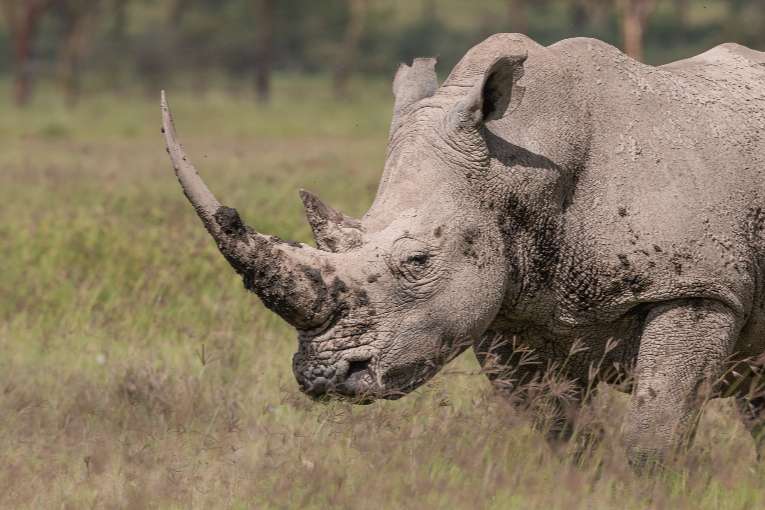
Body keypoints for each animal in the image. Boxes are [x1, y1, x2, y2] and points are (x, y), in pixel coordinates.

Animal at [162, 33, 765, 467]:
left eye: (418, 262)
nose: (323, 378)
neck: (515, 165)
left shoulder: (697, 288)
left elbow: (654, 436)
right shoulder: (509, 306)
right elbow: (568, 439)